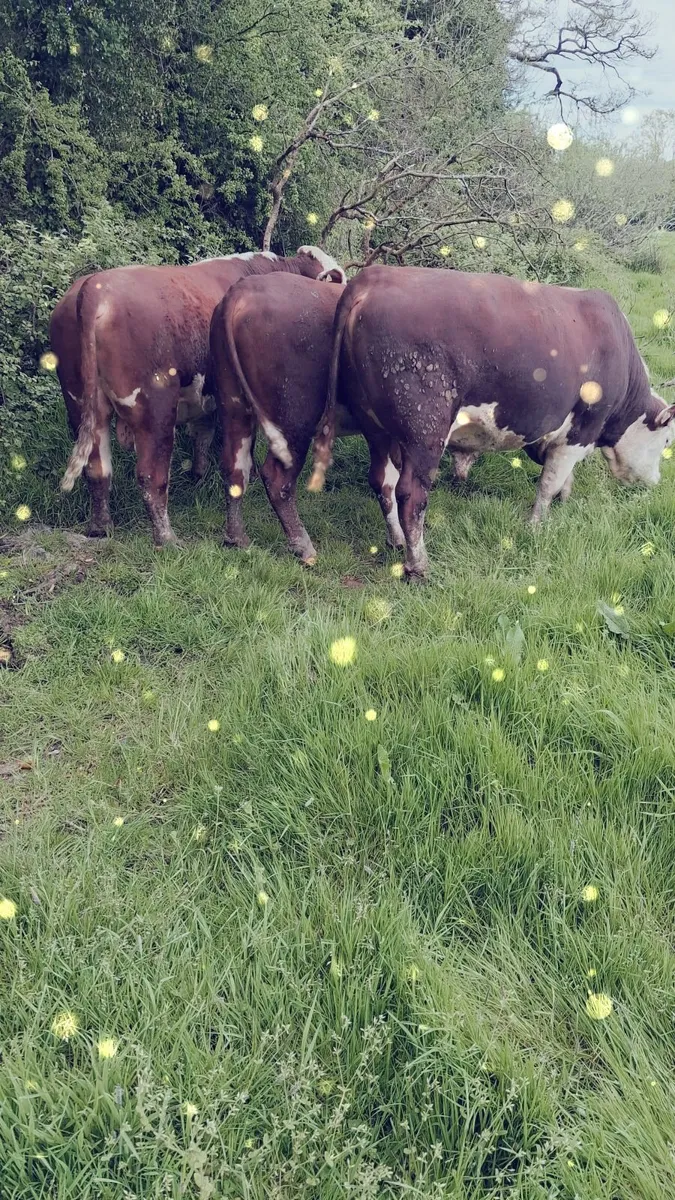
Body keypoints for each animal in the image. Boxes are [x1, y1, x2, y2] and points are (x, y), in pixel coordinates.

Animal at [51, 246, 346, 545]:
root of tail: (94, 287)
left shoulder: (207, 400)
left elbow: (203, 439)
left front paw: (199, 478)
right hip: (155, 410)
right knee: (151, 476)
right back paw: (167, 539)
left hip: (82, 405)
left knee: (97, 469)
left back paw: (101, 527)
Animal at [209, 272, 404, 563]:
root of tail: (242, 291)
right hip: (293, 417)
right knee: (277, 479)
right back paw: (303, 546)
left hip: (234, 406)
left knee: (236, 466)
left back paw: (237, 538)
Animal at [309, 265, 675, 579]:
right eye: (668, 441)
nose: (656, 482)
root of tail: (374, 277)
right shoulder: (582, 428)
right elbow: (549, 482)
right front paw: (536, 526)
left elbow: (559, 477)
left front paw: (563, 499)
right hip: (425, 430)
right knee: (410, 495)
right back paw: (418, 565)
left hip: (376, 427)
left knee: (382, 481)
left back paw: (397, 540)